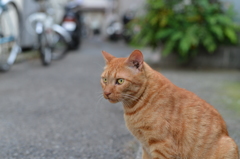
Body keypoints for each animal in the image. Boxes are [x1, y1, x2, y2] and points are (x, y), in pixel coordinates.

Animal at [101, 50, 238, 159]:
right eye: (105, 80)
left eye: (120, 81)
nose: (106, 93)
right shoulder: (146, 148)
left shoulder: (162, 147)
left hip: (229, 145)